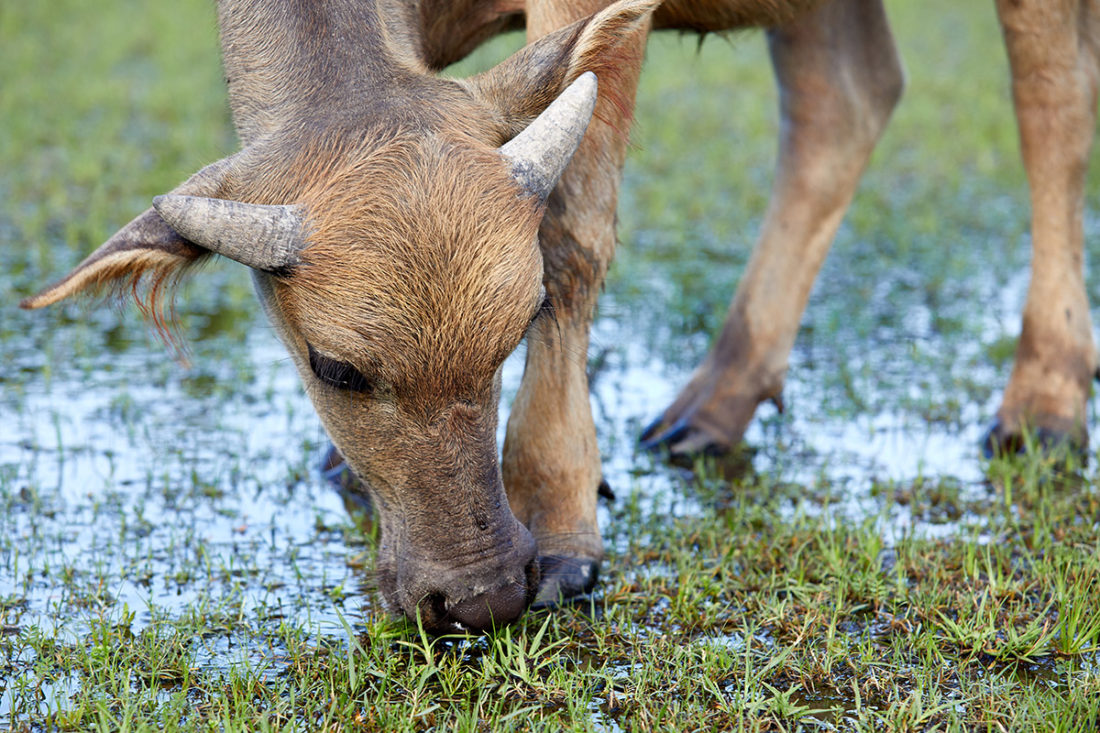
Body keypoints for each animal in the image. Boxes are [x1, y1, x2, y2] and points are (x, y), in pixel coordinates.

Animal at [20, 0, 1099, 633]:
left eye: (517, 326)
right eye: (335, 367)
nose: (481, 594)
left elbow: (575, 222)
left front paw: (564, 527)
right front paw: (343, 468)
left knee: (1050, 93)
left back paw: (1042, 400)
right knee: (845, 95)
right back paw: (711, 406)